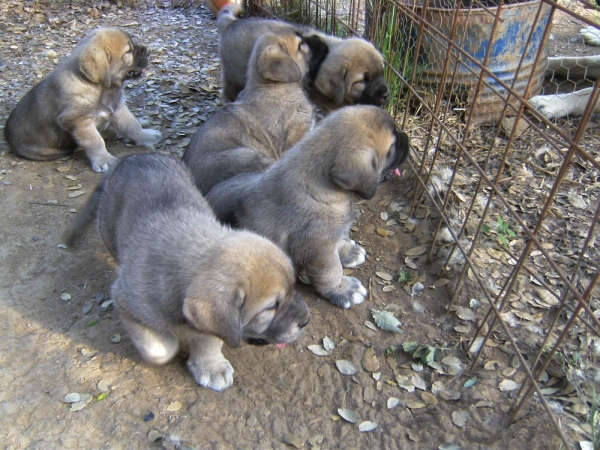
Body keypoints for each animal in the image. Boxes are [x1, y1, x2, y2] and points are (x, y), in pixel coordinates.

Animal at [3, 26, 162, 172]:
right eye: (128, 51)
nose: (148, 51)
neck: (100, 88)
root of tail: (7, 136)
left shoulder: (117, 107)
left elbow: (132, 125)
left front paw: (146, 136)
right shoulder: (80, 121)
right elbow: (95, 141)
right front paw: (104, 160)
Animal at [64, 152, 310, 390]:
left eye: (293, 288)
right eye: (271, 307)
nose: (306, 320)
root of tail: (132, 156)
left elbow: (208, 338)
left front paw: (210, 366)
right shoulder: (127, 303)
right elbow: (160, 350)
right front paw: (172, 342)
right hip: (108, 229)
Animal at [204, 105, 410, 310]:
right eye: (392, 147)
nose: (406, 137)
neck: (324, 189)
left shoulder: (329, 236)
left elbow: (339, 241)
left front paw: (347, 252)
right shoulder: (319, 249)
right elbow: (332, 271)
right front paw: (343, 289)